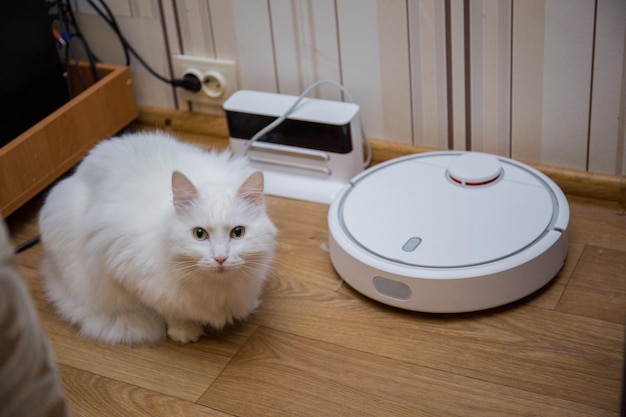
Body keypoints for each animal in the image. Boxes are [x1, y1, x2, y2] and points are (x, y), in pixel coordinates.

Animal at [37, 131, 276, 344]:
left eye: (238, 232)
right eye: (199, 234)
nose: (220, 258)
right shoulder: (127, 270)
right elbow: (169, 310)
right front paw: (184, 330)